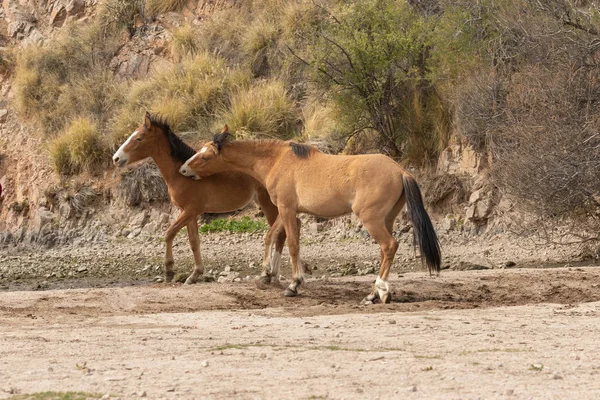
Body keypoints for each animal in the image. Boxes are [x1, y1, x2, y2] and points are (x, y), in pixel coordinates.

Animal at [114, 113, 290, 284]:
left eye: (139, 138)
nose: (116, 158)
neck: (180, 175)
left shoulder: (191, 210)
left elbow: (169, 233)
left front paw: (169, 271)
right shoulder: (188, 213)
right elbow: (194, 241)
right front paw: (195, 274)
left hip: (269, 204)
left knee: (280, 235)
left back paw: (271, 275)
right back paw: (273, 275)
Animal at [178, 128, 440, 304]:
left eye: (205, 156)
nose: (183, 169)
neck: (277, 160)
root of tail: (400, 170)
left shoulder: (287, 209)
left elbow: (293, 244)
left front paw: (294, 284)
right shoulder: (286, 211)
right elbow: (270, 236)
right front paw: (266, 274)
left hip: (371, 219)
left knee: (389, 246)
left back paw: (379, 291)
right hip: (386, 219)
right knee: (385, 251)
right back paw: (374, 293)